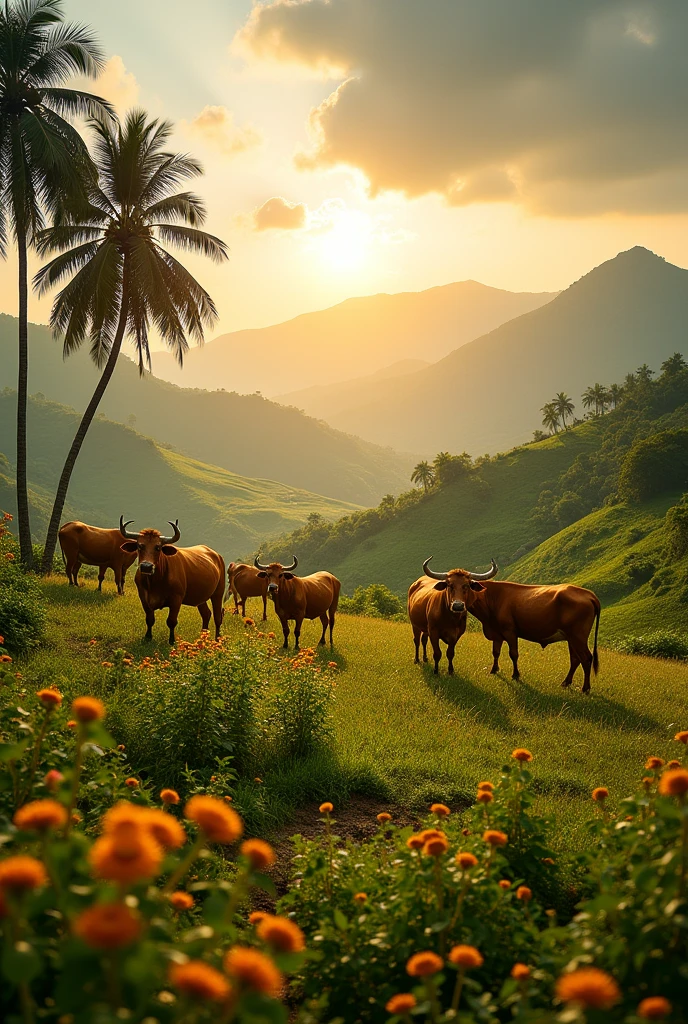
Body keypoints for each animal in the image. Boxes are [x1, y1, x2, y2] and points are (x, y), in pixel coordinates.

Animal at [421, 557, 597, 692]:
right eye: (449, 585)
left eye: (467, 585)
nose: (458, 606)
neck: (492, 599)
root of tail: (588, 594)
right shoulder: (497, 634)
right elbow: (496, 652)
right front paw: (494, 670)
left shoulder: (510, 632)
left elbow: (513, 654)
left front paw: (516, 675)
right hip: (571, 639)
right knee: (575, 659)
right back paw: (566, 682)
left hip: (578, 637)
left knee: (586, 658)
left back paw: (586, 688)